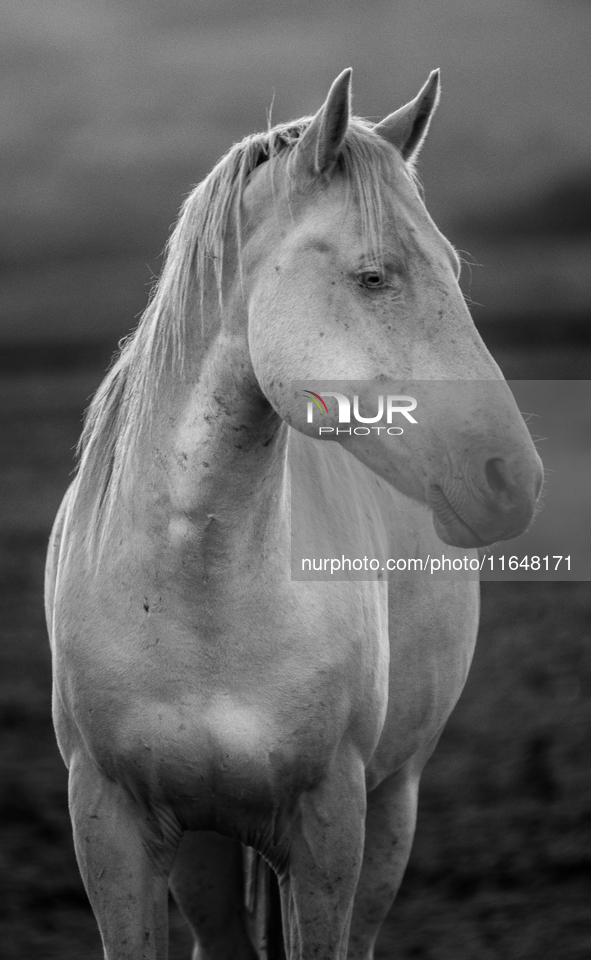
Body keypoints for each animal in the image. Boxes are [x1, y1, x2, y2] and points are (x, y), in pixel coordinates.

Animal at [45, 69, 544, 960]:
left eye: (452, 268)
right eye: (373, 275)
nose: (509, 478)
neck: (196, 588)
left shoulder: (328, 822)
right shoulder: (109, 822)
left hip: (391, 803)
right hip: (205, 849)